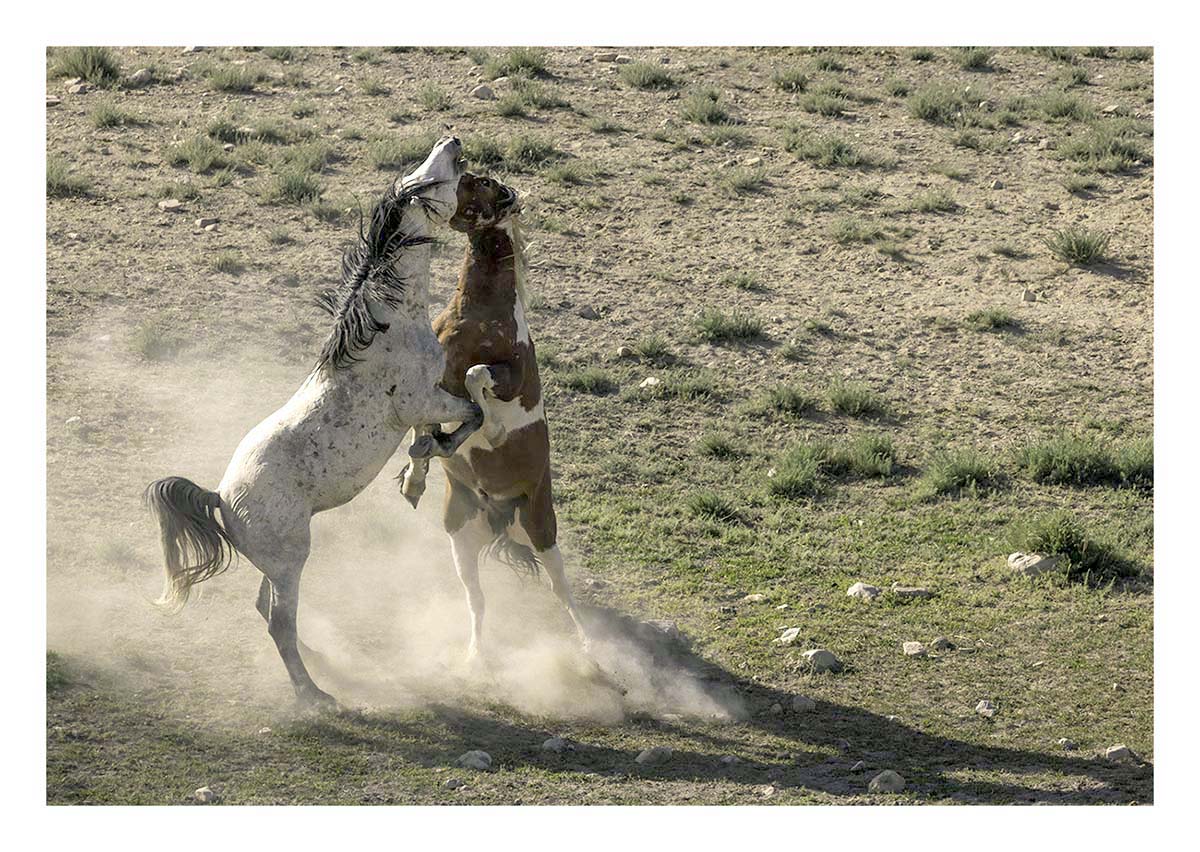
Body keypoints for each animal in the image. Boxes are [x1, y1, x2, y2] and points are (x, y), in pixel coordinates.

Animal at [144, 136, 483, 710]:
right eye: (428, 179)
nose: (451, 141)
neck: (389, 324)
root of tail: (219, 497)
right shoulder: (423, 402)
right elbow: (471, 414)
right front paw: (427, 458)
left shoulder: (426, 404)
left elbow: (441, 432)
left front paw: (414, 476)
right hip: (291, 561)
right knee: (279, 620)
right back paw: (315, 694)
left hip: (276, 565)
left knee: (267, 611)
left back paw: (323, 665)